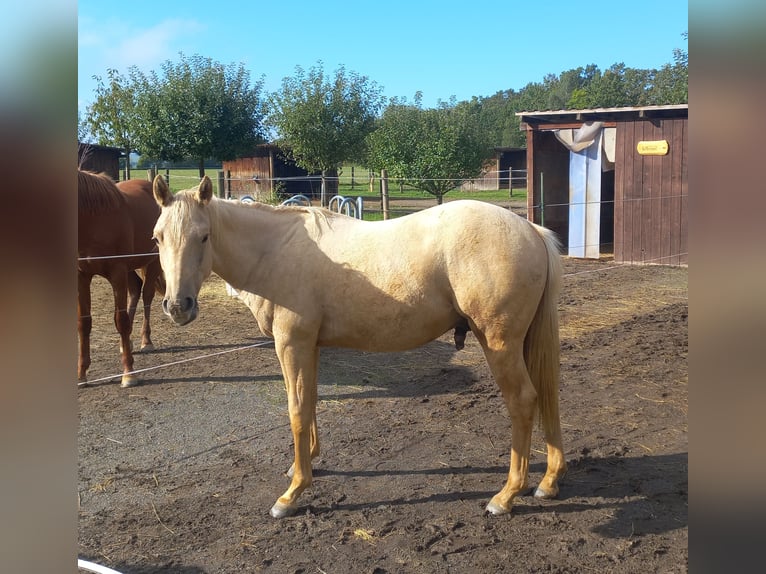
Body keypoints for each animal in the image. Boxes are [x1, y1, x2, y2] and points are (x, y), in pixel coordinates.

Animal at [77, 170, 164, 388]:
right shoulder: (82, 276)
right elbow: (84, 323)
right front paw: (82, 375)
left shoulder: (117, 272)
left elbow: (121, 319)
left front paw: (129, 374)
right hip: (130, 268)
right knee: (135, 290)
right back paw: (126, 345)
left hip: (151, 262)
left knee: (147, 296)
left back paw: (145, 341)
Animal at [153, 174, 568, 516]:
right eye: (157, 237)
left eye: (203, 235)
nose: (178, 306)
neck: (274, 250)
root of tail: (530, 229)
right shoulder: (309, 346)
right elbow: (309, 402)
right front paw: (306, 462)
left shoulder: (292, 344)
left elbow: (296, 410)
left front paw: (292, 494)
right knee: (546, 395)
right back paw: (548, 482)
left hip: (500, 344)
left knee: (523, 401)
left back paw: (506, 495)